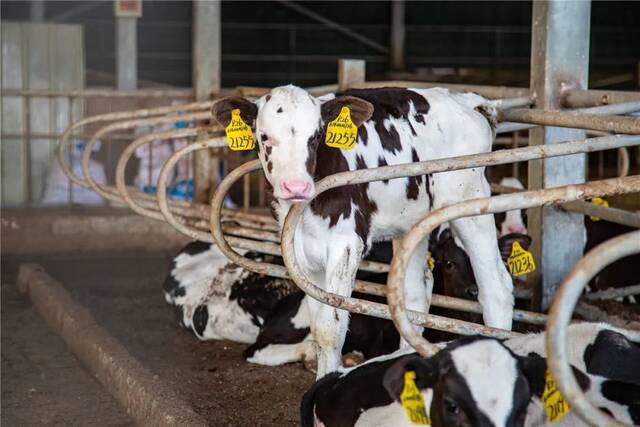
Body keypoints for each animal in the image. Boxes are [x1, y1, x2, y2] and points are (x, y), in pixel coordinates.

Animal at [215, 86, 516, 378]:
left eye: (316, 136)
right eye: (264, 136)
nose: (296, 187)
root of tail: (466, 99)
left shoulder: (346, 243)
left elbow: (331, 329)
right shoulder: (301, 253)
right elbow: (318, 328)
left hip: (472, 205)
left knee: (496, 288)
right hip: (412, 222)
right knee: (415, 291)